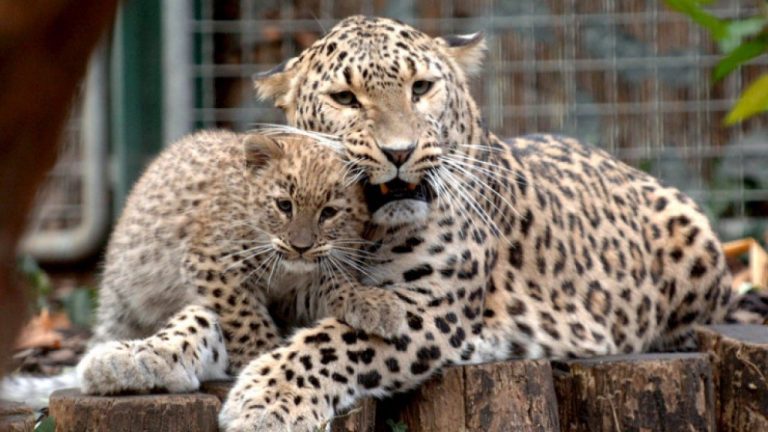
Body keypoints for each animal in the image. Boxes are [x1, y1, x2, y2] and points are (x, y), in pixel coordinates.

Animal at [74, 128, 406, 396]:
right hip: (122, 303)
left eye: (329, 213)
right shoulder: (214, 264)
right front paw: (262, 354)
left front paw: (375, 304)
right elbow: (245, 317)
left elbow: (334, 283)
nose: (301, 247)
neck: (286, 272)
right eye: (284, 205)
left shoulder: (296, 292)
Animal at [218, 15, 768, 431]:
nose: (399, 153)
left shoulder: (429, 307)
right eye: (345, 99)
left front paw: (263, 400)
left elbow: (333, 341)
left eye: (421, 88)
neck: (364, 230)